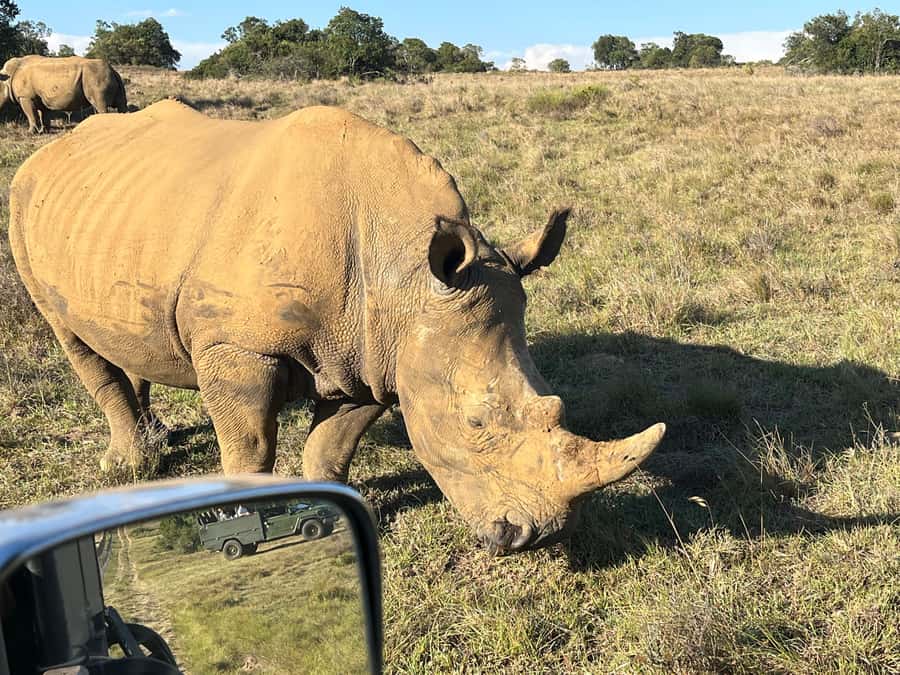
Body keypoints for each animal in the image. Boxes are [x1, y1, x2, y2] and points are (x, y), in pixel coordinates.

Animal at [9, 101, 664, 553]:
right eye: (475, 423)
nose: (535, 535)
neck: (404, 278)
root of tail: (48, 154)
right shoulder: (237, 347)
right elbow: (251, 447)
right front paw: (249, 515)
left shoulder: (374, 353)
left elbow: (332, 445)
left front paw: (339, 514)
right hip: (23, 207)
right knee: (73, 339)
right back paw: (130, 468)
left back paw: (154, 440)